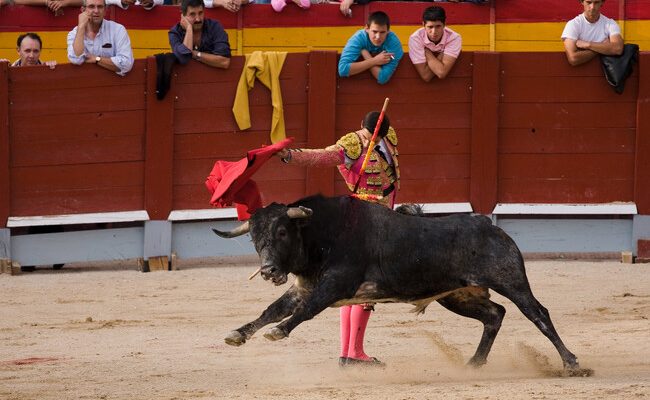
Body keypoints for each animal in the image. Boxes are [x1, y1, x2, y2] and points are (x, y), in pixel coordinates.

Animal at [215, 194, 588, 376]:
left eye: (281, 232)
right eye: (253, 238)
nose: (268, 270)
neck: (321, 235)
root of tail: (490, 226)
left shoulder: (334, 285)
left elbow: (305, 312)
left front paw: (278, 332)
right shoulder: (304, 286)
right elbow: (272, 309)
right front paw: (238, 334)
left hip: (510, 279)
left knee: (538, 313)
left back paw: (572, 364)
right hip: (457, 295)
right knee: (495, 314)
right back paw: (473, 363)